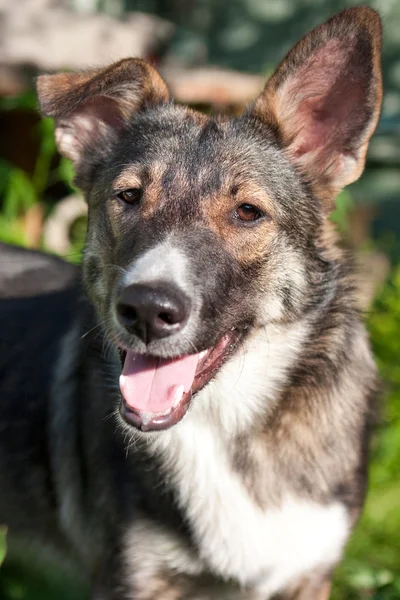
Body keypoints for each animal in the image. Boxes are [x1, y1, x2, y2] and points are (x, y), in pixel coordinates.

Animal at [0, 5, 382, 600]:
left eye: (248, 212)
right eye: (128, 197)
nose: (146, 310)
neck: (225, 424)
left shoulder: (309, 573)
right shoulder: (133, 578)